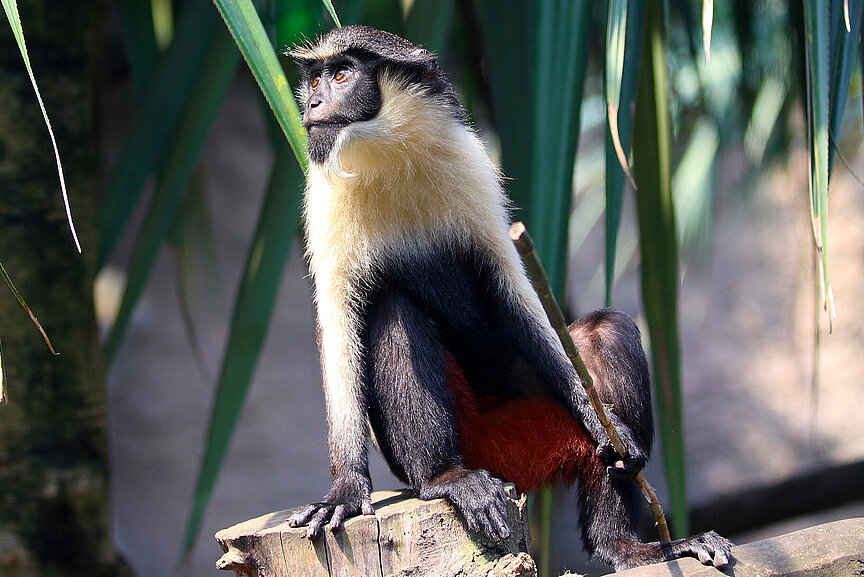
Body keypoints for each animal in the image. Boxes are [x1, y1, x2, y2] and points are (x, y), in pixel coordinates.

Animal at [286, 25, 731, 571]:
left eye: (342, 73)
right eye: (314, 79)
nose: (312, 103)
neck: (389, 153)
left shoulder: (473, 168)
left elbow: (514, 298)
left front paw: (610, 429)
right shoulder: (323, 196)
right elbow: (340, 326)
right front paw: (346, 490)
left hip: (532, 424)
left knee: (608, 331)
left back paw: (626, 547)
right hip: (476, 440)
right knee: (393, 309)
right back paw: (445, 477)